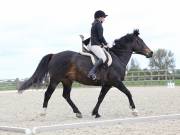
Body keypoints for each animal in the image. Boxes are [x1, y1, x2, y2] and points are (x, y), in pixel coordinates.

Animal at [18, 29, 153, 118]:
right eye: (139, 41)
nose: (150, 53)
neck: (118, 57)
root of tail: (55, 55)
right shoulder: (116, 82)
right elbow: (128, 93)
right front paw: (134, 110)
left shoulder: (107, 84)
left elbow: (100, 97)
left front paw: (95, 113)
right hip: (55, 80)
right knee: (48, 94)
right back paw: (43, 113)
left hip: (67, 81)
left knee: (66, 95)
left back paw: (78, 112)